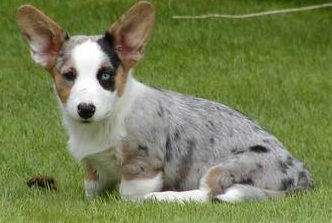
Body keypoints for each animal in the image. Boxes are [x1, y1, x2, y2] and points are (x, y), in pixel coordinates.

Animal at [17, 1, 314, 202]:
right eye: (68, 75)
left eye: (106, 76)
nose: (86, 109)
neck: (108, 120)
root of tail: (301, 175)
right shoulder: (94, 168)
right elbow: (91, 190)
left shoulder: (143, 167)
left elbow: (128, 194)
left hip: (225, 167)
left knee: (208, 194)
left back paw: (164, 198)